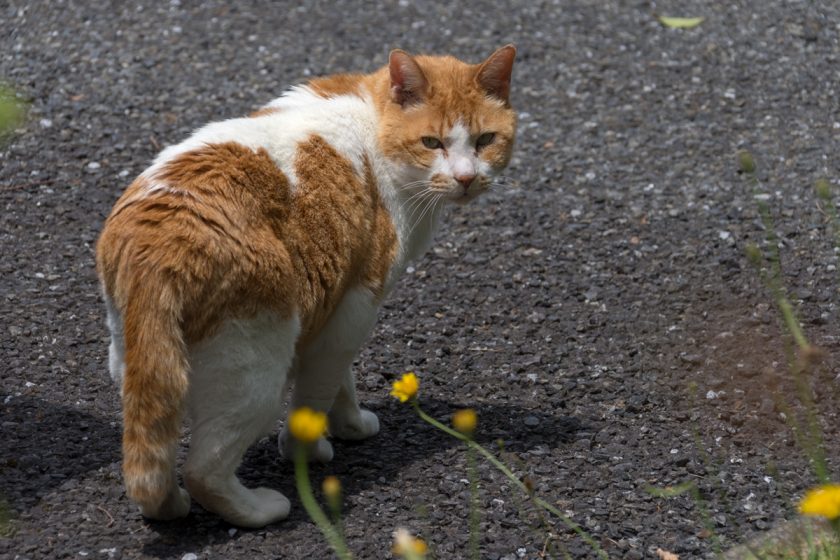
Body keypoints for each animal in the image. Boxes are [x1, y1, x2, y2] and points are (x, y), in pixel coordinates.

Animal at [95, 44, 516, 528]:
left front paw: (349, 424)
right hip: (256, 369)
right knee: (204, 468)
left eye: (485, 140)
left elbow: (339, 380)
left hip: (136, 361)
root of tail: (158, 243)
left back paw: (169, 507)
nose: (466, 178)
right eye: (432, 143)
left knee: (152, 459)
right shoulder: (358, 304)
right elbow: (317, 392)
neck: (373, 119)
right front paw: (309, 449)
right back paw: (258, 509)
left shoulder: (337, 306)